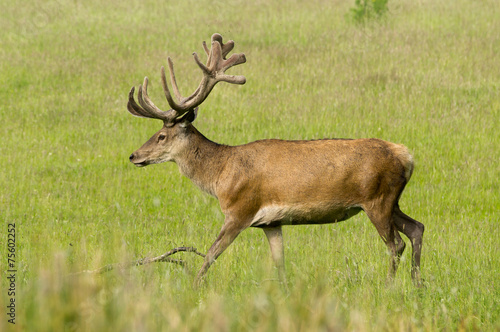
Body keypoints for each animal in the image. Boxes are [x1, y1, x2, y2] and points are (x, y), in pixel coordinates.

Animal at [127, 34, 424, 288]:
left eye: (161, 136)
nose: (134, 155)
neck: (220, 174)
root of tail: (406, 156)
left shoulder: (240, 209)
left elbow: (211, 253)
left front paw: (194, 286)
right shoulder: (271, 223)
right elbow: (280, 261)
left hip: (377, 199)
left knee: (396, 243)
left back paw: (389, 285)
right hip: (391, 200)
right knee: (416, 228)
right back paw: (417, 283)